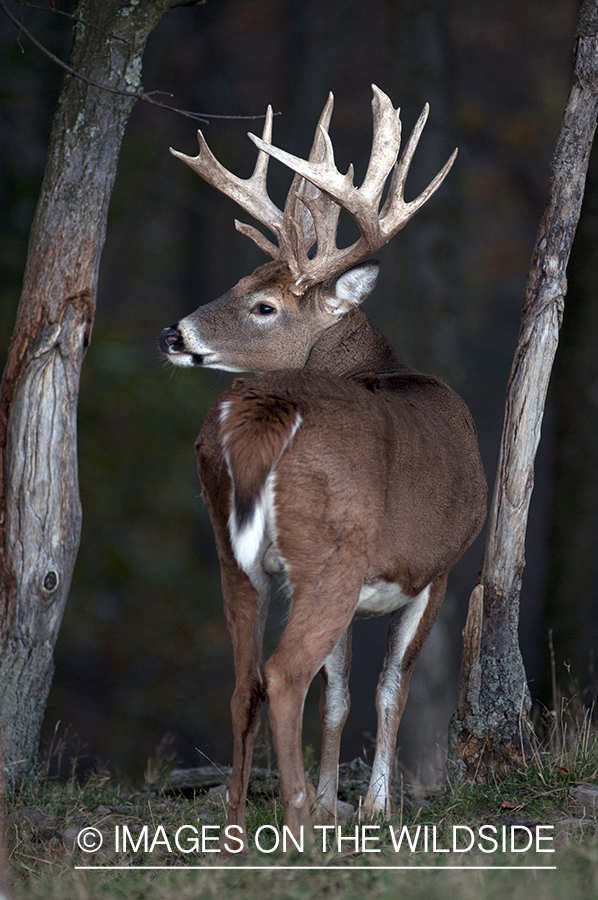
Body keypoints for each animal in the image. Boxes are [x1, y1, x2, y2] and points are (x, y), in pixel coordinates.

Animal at [159, 84, 488, 844]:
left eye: (261, 302)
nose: (173, 334)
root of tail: (267, 409)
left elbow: (339, 692)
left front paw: (342, 801)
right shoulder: (437, 565)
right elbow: (388, 687)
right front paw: (372, 809)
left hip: (232, 553)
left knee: (245, 678)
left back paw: (239, 826)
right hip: (331, 552)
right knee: (283, 675)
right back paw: (297, 824)